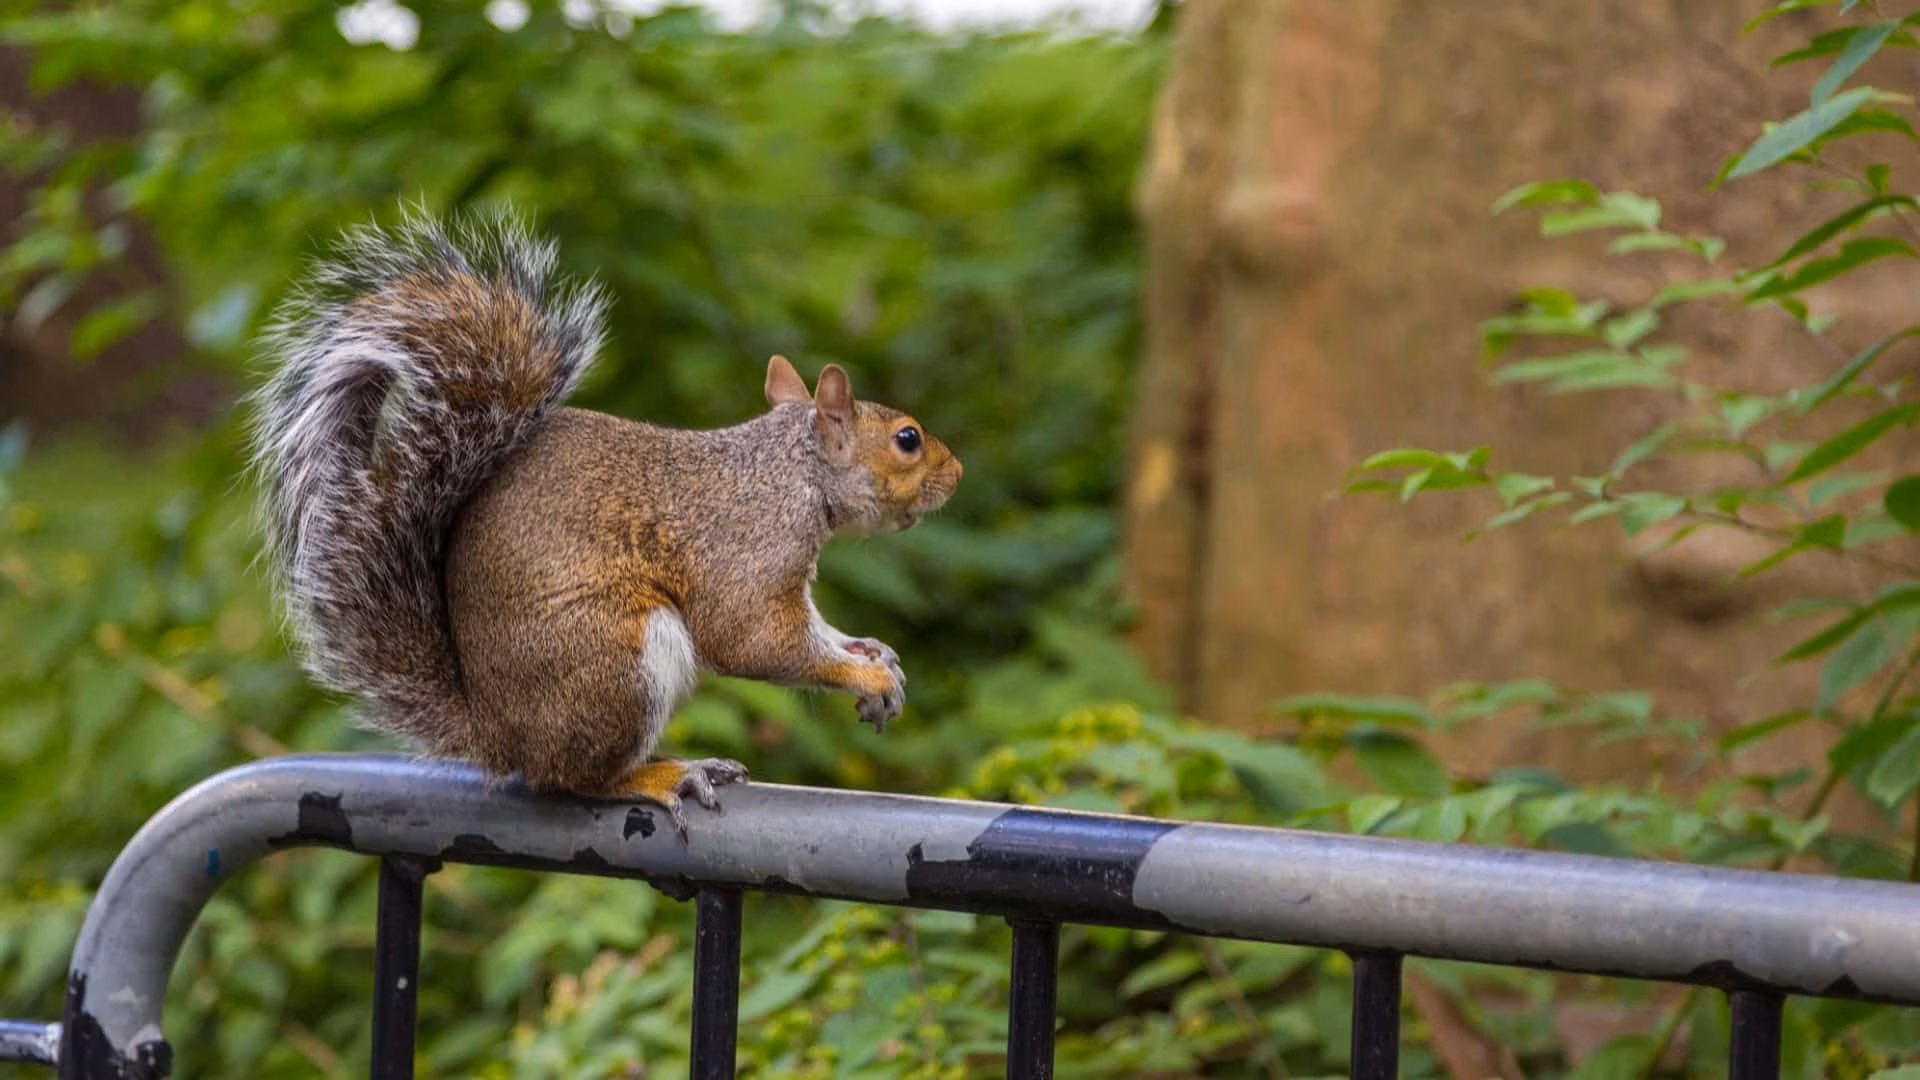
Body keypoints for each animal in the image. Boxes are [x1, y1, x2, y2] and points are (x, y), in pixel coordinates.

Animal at [249, 209, 962, 836]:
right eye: (907, 439)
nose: (957, 472)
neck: (791, 471)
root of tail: (498, 734)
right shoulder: (748, 551)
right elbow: (755, 639)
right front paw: (864, 674)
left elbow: (817, 629)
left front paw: (871, 652)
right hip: (618, 660)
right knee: (573, 779)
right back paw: (662, 775)